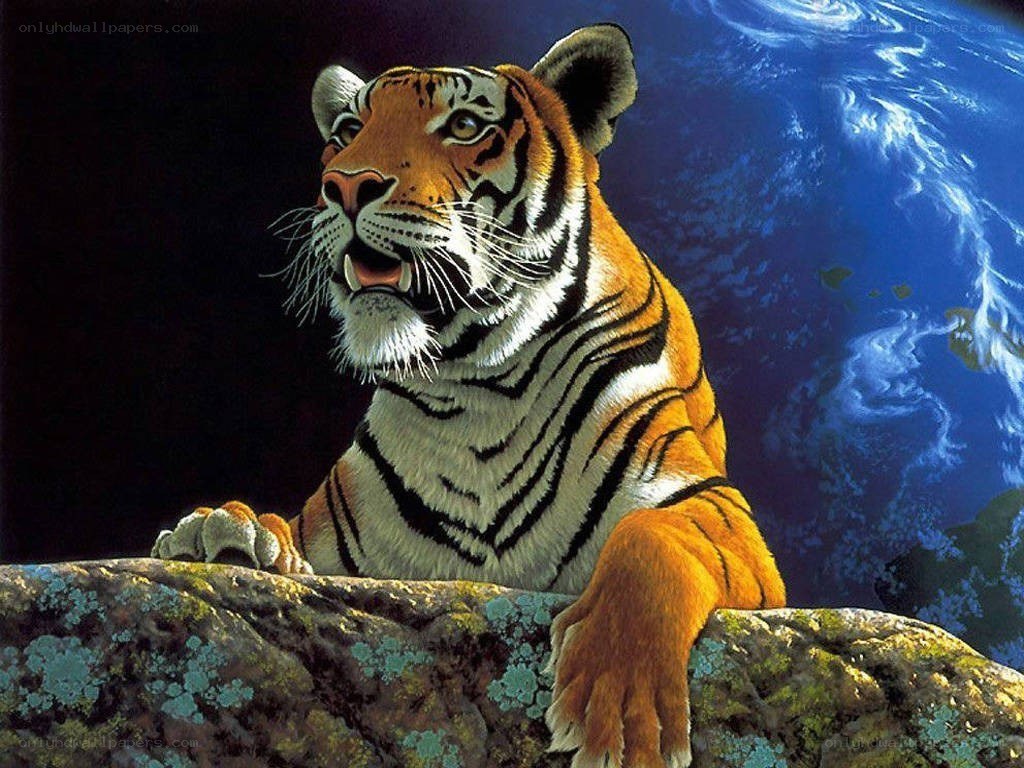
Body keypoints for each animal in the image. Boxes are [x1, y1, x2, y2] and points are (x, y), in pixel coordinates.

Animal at [151, 24, 786, 768]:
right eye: (348, 131)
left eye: (462, 126)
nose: (345, 185)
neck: (475, 386)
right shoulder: (339, 542)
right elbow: (283, 528)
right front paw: (220, 532)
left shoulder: (713, 508)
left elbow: (650, 542)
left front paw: (618, 711)